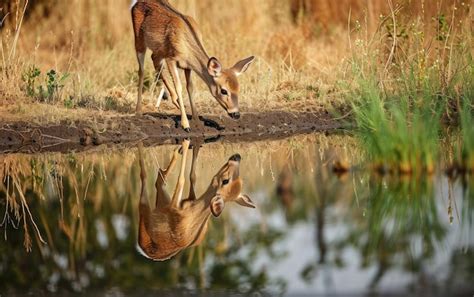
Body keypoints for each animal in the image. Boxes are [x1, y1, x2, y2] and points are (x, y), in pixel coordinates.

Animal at [130, 0, 256, 132]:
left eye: (238, 88)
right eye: (224, 90)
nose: (236, 114)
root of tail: (136, 3)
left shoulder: (187, 66)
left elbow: (190, 87)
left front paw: (196, 119)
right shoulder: (171, 58)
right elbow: (179, 87)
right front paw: (186, 125)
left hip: (159, 50)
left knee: (154, 60)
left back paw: (175, 101)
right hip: (139, 40)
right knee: (141, 70)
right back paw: (138, 111)